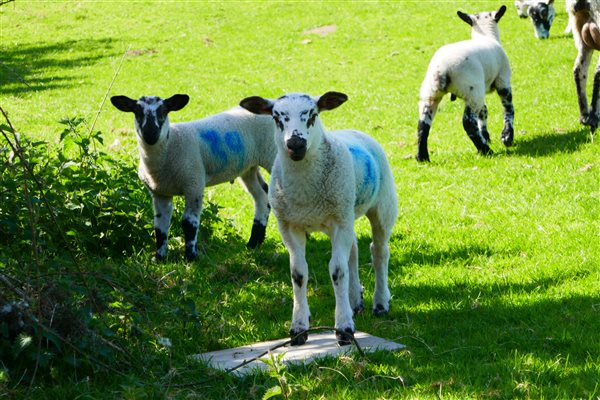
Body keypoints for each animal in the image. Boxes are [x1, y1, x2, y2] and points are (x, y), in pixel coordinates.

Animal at [110, 94, 276, 262]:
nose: (150, 134)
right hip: (249, 167)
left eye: (164, 111)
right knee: (262, 196)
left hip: (272, 155)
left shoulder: (194, 183)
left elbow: (189, 222)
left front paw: (190, 257)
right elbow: (160, 226)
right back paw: (253, 243)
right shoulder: (159, 193)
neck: (171, 143)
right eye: (137, 112)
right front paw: (160, 258)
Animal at [239, 91, 398, 346]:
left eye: (312, 115)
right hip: (345, 212)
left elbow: (337, 271)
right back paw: (355, 300)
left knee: (379, 251)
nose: (296, 144)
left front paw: (344, 329)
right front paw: (298, 328)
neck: (306, 194)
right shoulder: (289, 226)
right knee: (353, 249)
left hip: (381, 206)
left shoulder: (338, 223)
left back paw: (381, 302)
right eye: (276, 117)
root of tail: (356, 131)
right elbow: (298, 273)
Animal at [414, 4, 512, 161]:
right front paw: (507, 137)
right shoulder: (503, 80)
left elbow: (483, 111)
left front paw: (486, 135)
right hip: (472, 91)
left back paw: (422, 156)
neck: (485, 35)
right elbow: (508, 109)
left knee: (423, 123)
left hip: (431, 93)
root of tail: (442, 69)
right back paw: (486, 150)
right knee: (468, 123)